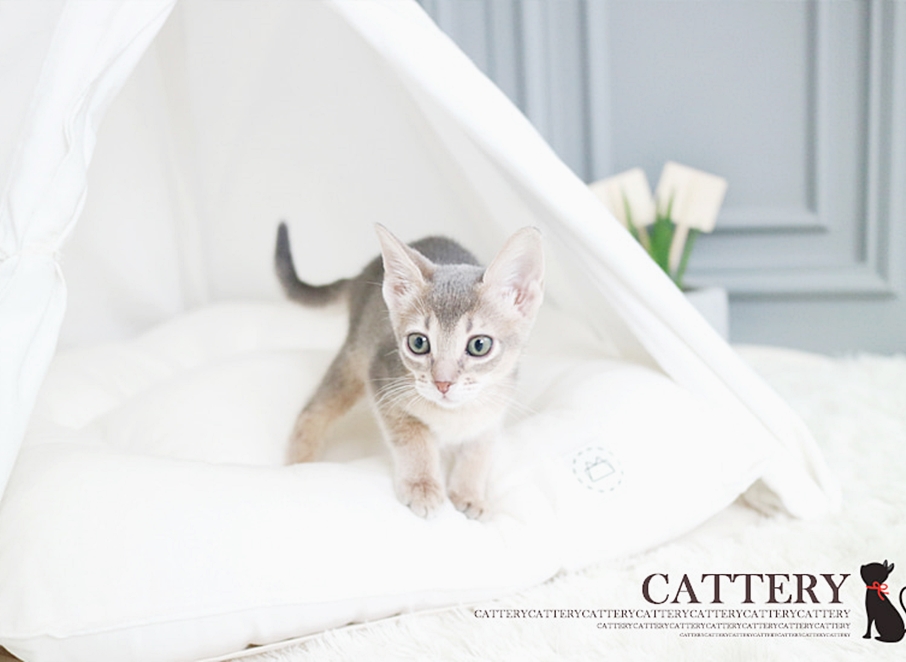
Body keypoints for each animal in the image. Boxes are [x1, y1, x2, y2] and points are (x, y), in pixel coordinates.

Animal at [274, 222, 544, 519]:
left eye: (479, 345)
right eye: (418, 342)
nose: (442, 383)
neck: (454, 416)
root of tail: (363, 273)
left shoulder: (493, 413)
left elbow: (479, 452)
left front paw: (469, 493)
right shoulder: (382, 382)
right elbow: (415, 438)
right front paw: (422, 485)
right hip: (354, 357)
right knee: (312, 412)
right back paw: (301, 465)